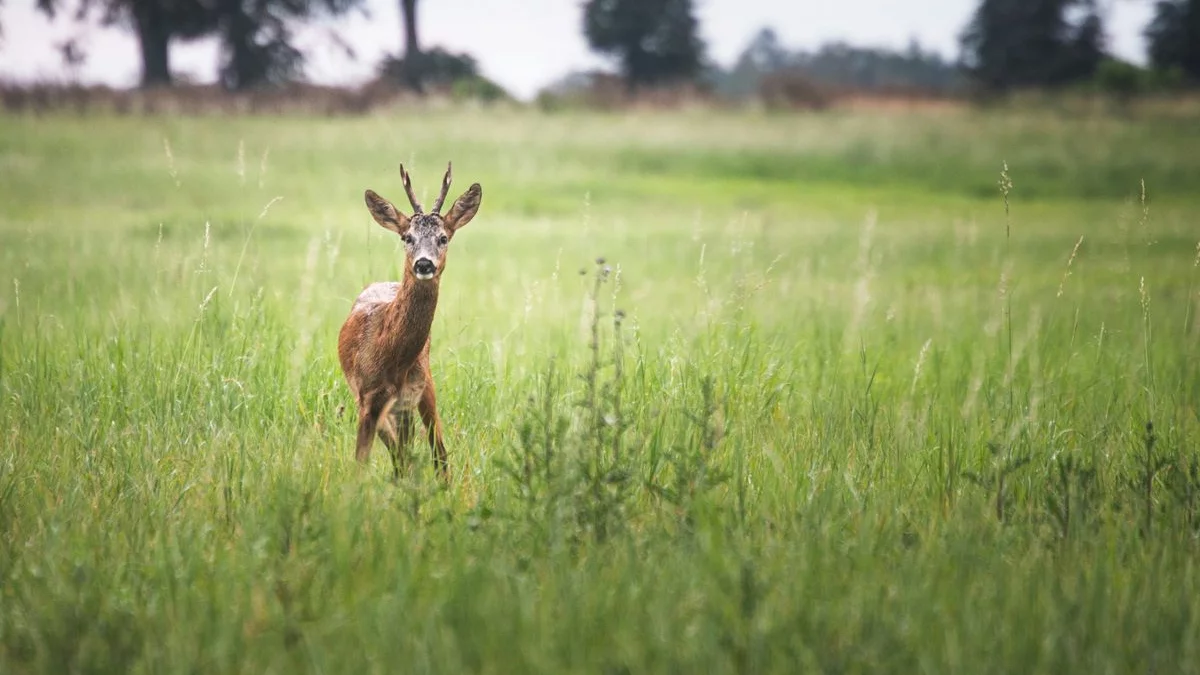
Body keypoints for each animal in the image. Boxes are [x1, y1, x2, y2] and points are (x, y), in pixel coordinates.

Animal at [336, 162, 480, 478]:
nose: (424, 263)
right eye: (407, 237)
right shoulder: (367, 398)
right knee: (400, 453)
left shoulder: (415, 393)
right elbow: (361, 462)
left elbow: (436, 454)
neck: (389, 354)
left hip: (423, 387)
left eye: (443, 237)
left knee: (432, 452)